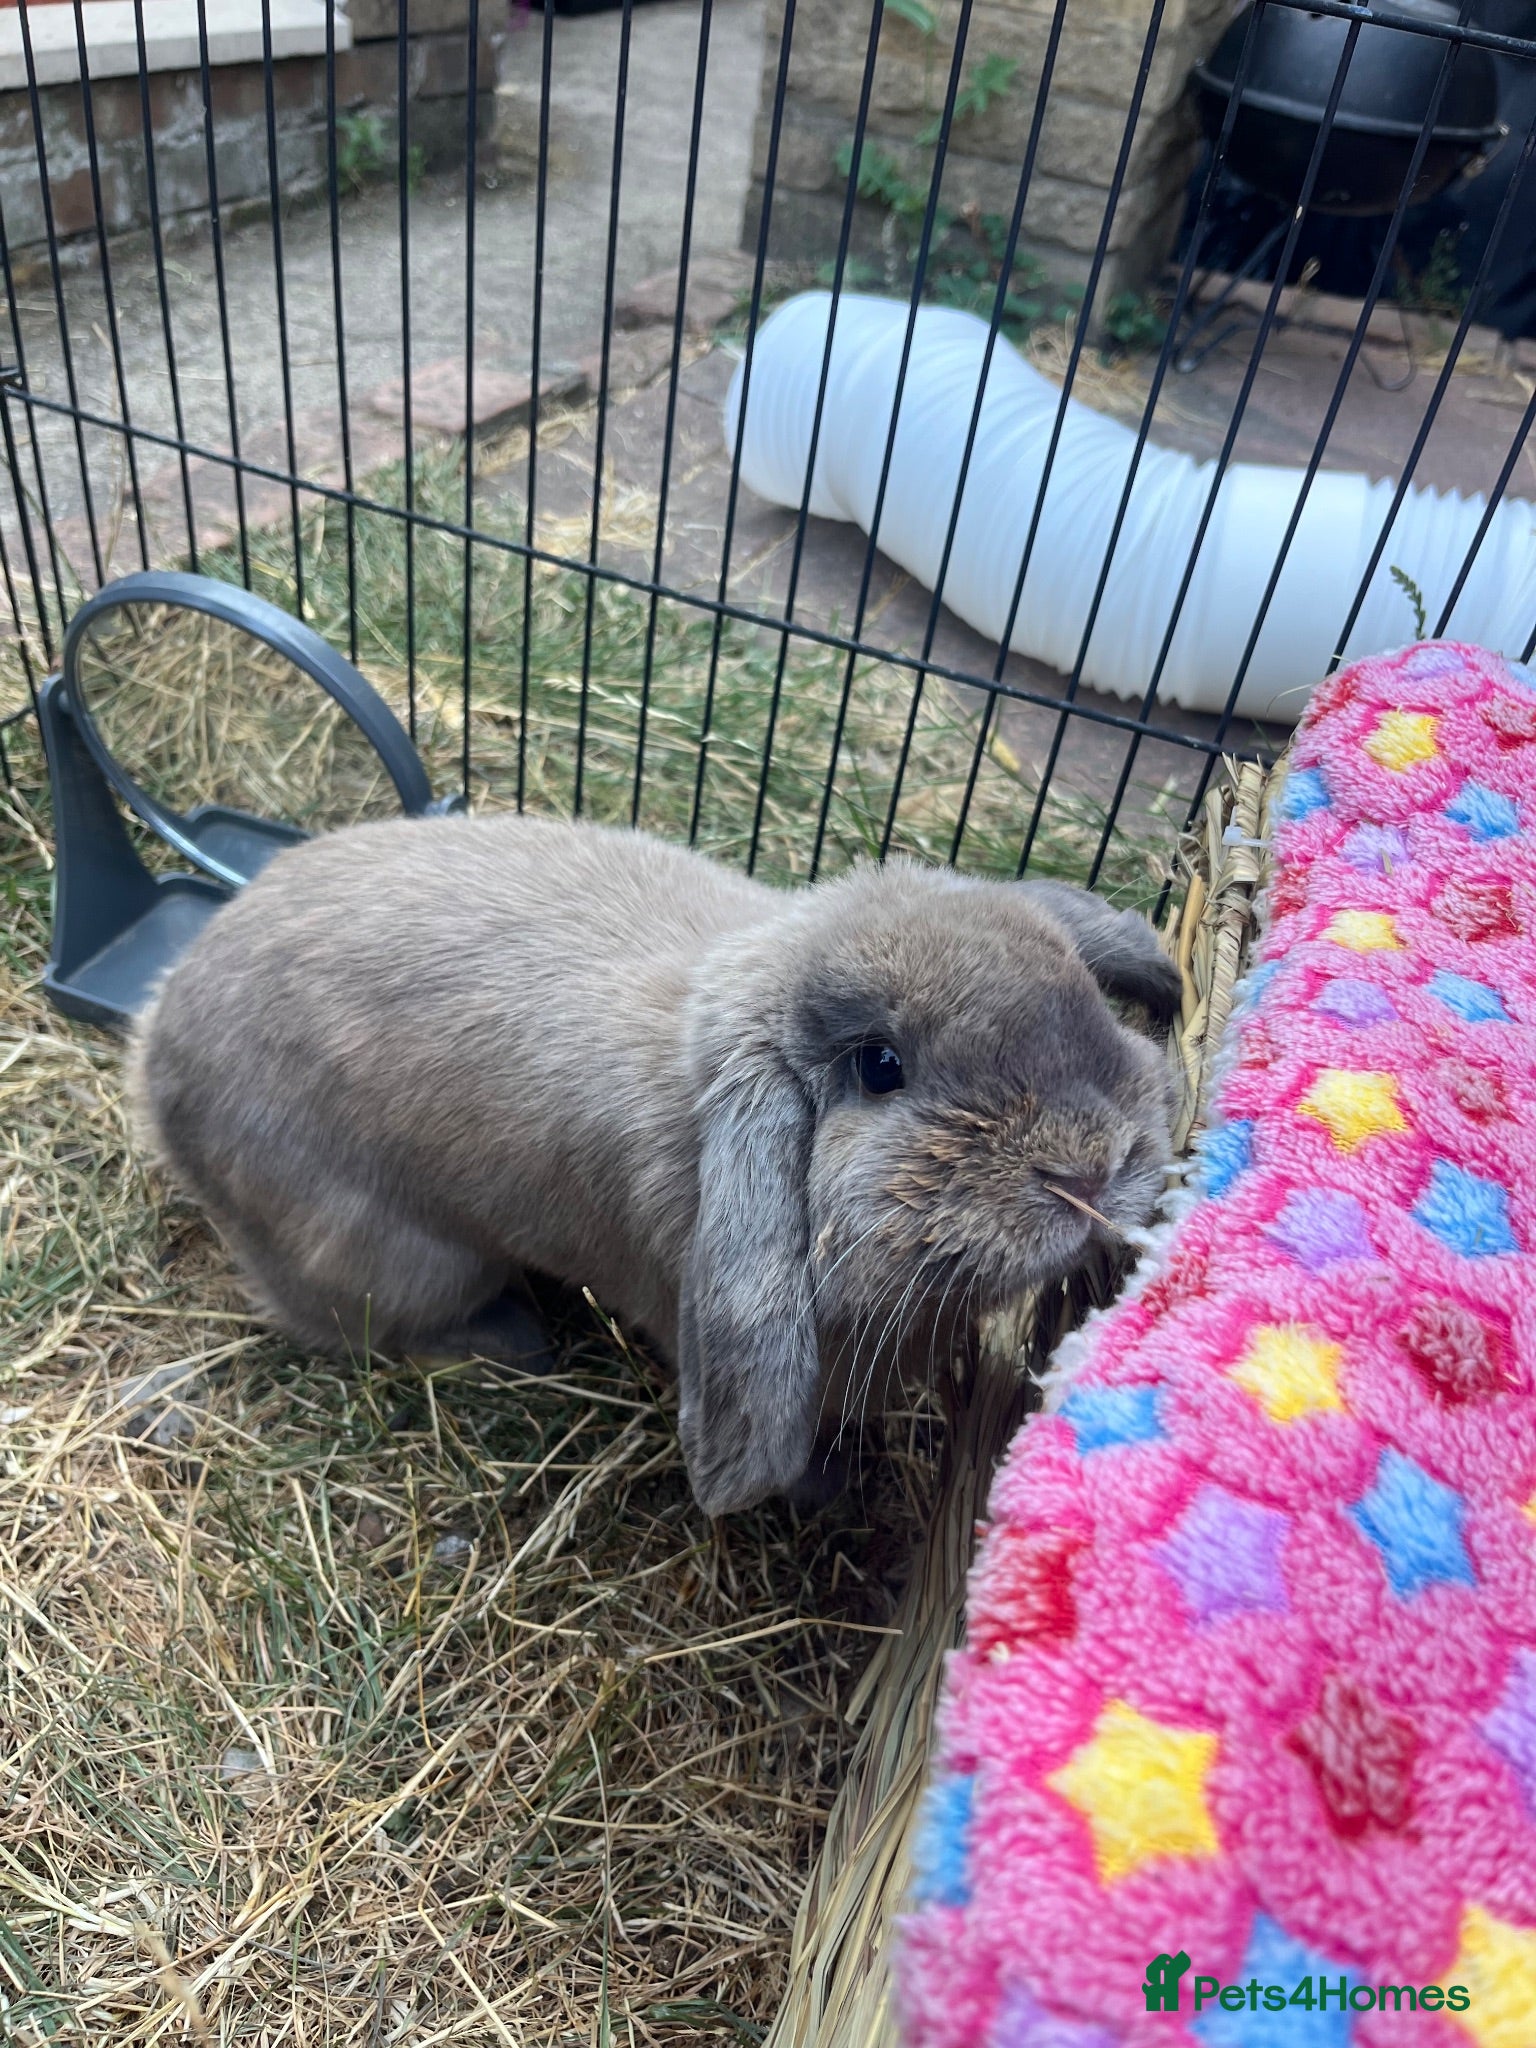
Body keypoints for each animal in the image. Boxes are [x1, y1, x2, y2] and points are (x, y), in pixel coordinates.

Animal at [129, 813, 1181, 1516]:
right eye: (880, 1066)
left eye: (1081, 988)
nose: (1092, 1168)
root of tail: (158, 1054)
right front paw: (835, 1490)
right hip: (403, 1259)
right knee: (348, 1325)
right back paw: (511, 1341)